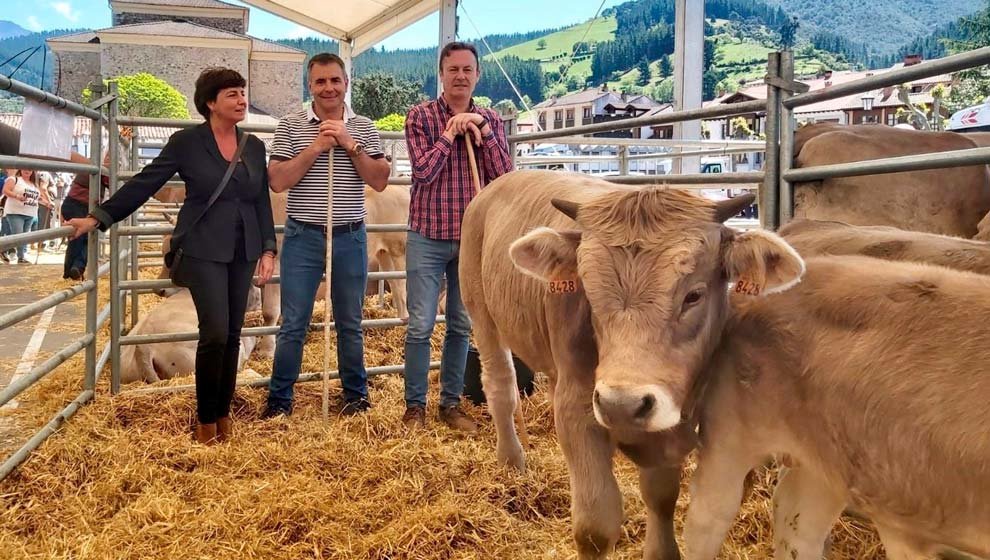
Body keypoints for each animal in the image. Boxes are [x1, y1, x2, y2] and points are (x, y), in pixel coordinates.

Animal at [462, 171, 764, 560]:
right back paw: (512, 459)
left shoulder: (671, 416)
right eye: (590, 295)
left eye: (694, 295)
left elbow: (661, 495)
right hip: (480, 311)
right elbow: (596, 525)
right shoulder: (578, 408)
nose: (621, 404)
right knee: (500, 384)